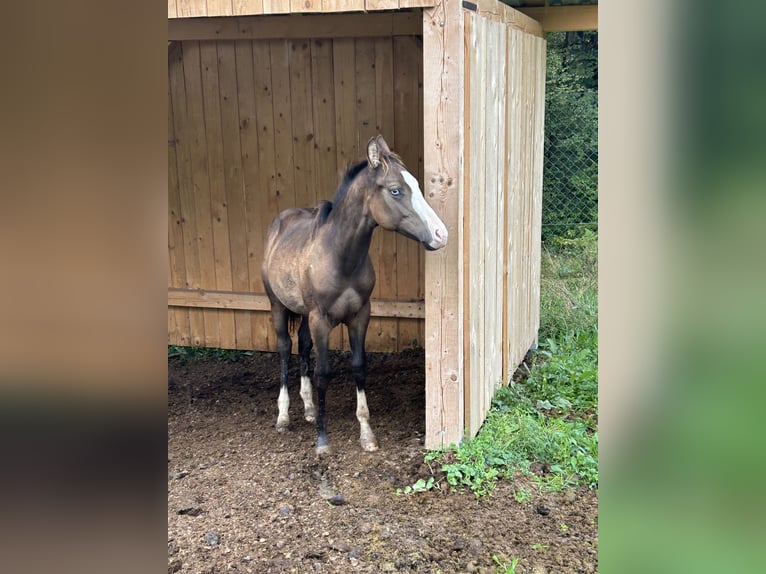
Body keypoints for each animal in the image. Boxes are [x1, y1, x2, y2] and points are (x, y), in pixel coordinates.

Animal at [262, 135, 450, 454]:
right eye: (395, 190)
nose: (441, 235)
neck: (339, 256)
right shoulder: (321, 320)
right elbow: (323, 373)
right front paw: (323, 441)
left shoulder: (361, 315)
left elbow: (359, 367)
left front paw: (367, 434)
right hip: (278, 306)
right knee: (285, 349)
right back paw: (284, 417)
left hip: (303, 314)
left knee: (302, 346)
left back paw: (309, 409)